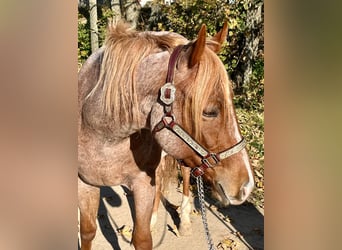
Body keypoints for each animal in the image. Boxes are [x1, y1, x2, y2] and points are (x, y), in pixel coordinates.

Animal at [77, 21, 254, 250]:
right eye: (210, 111)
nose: (246, 187)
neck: (104, 134)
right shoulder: (85, 184)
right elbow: (88, 231)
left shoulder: (143, 183)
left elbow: (142, 238)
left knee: (186, 177)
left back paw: (184, 221)